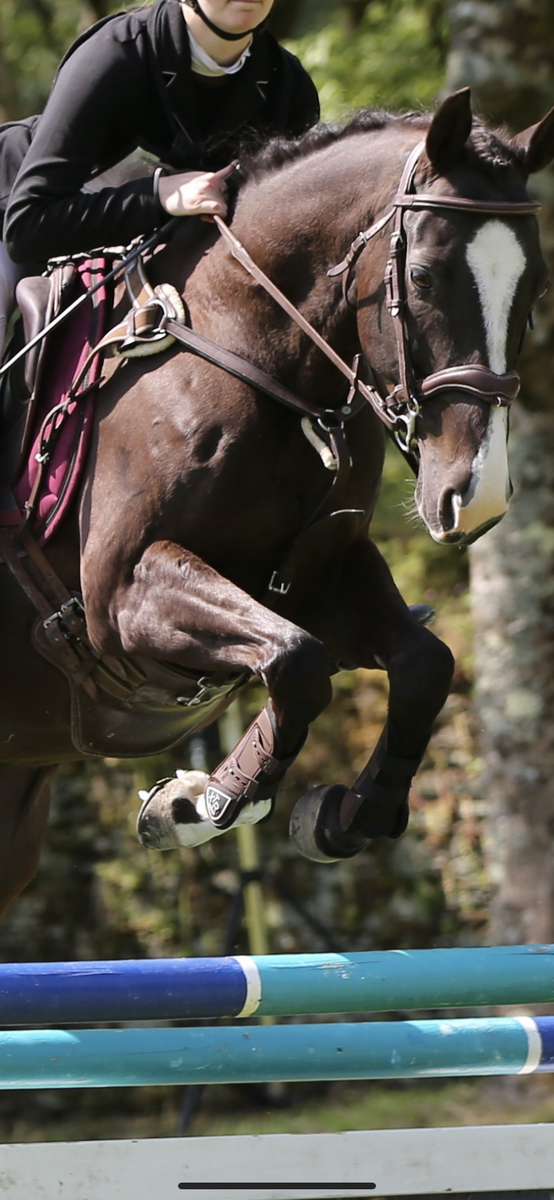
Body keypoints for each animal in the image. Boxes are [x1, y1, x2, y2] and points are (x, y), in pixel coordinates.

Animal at [1, 87, 553, 918]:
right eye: (424, 277)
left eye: (536, 285)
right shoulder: (118, 593)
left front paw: (347, 814)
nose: (477, 496)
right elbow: (296, 662)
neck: (255, 352)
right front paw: (202, 803)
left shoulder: (321, 574)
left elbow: (422, 663)